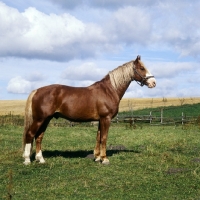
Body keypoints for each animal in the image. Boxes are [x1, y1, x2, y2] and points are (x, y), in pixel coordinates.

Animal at [22, 55, 156, 165]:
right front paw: (104, 159)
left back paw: (41, 159)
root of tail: (37, 91)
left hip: (46, 119)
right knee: (30, 135)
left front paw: (97, 157)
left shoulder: (100, 120)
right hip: (40, 119)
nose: (153, 83)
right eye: (142, 68)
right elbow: (104, 138)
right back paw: (27, 160)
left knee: (39, 137)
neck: (109, 90)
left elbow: (98, 137)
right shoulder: (106, 119)